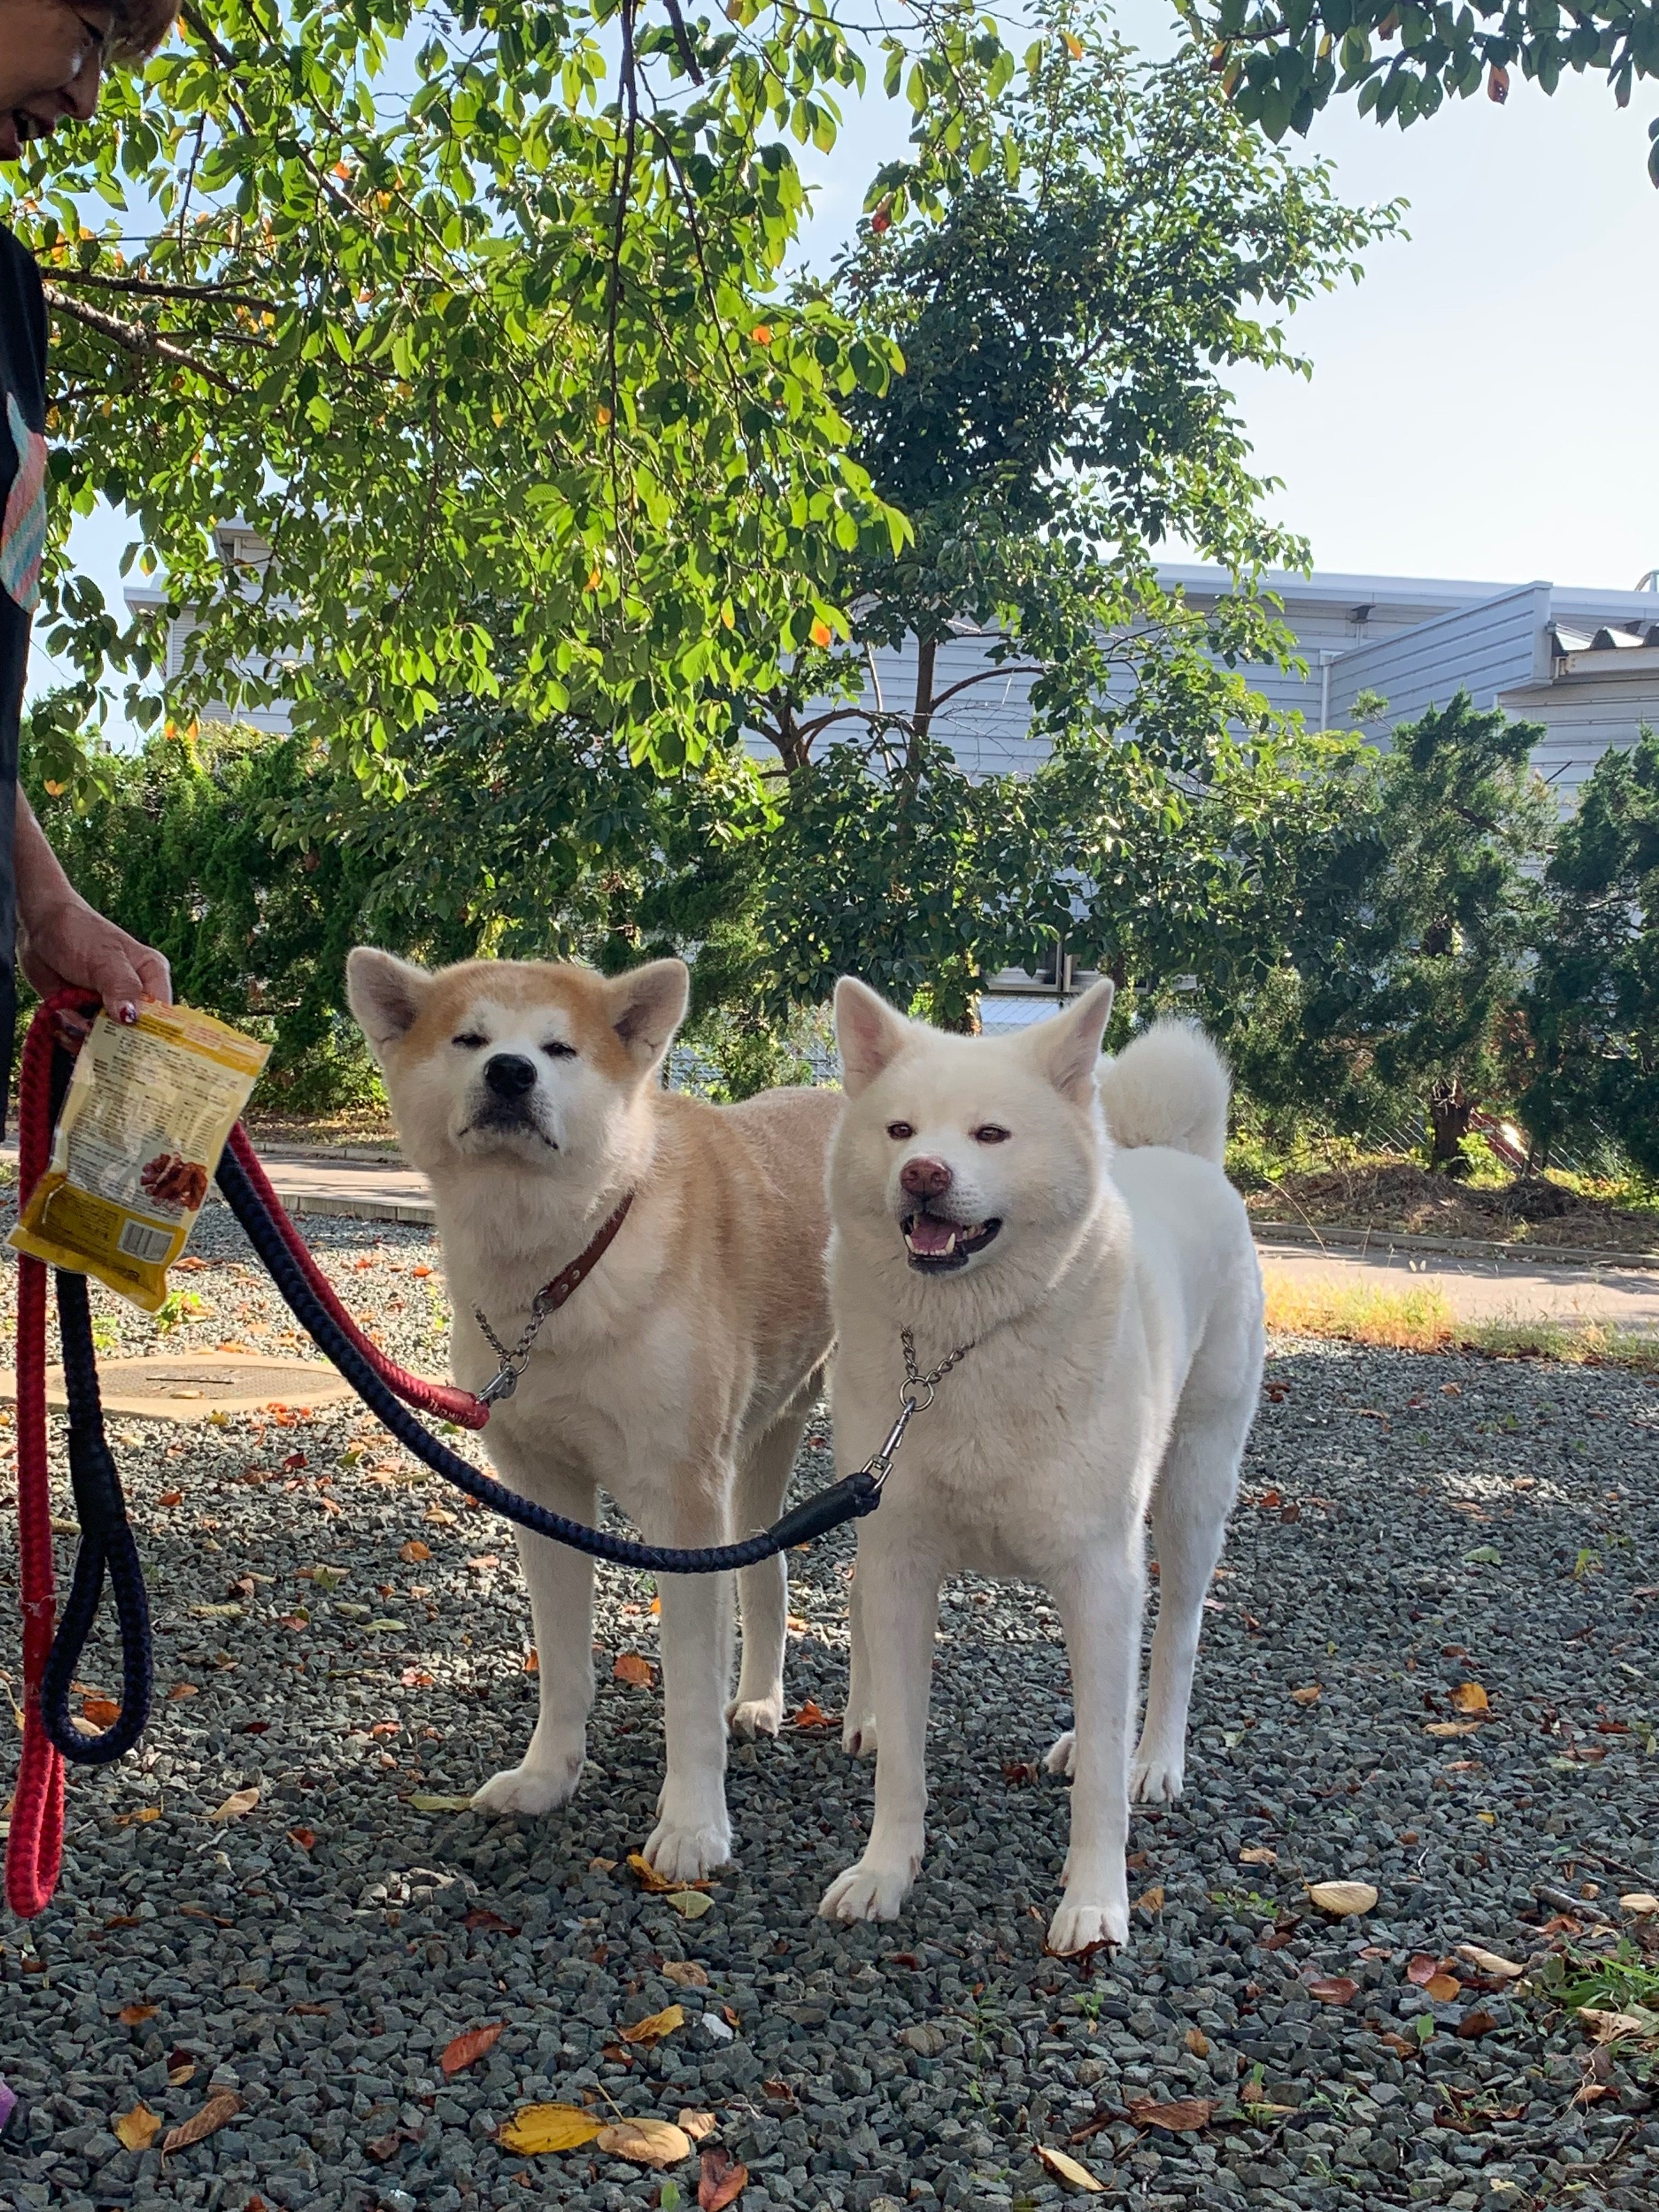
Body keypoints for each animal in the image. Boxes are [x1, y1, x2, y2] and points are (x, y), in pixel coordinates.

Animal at [352, 942, 845, 1876]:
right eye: (471, 1039)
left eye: (560, 1049)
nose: (510, 1072)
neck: (561, 1273)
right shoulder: (544, 1494)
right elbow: (565, 1665)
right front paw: (548, 1778)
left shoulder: (681, 1504)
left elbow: (687, 1688)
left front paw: (692, 1827)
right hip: (760, 1445)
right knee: (767, 1571)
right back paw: (761, 1701)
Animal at [827, 986, 1265, 1955]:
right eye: (899, 1129)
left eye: (991, 1134)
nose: (923, 1173)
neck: (967, 1348)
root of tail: (1178, 1156)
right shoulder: (900, 1559)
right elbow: (905, 1758)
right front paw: (885, 1872)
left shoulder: (1100, 1572)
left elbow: (1102, 1775)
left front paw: (1096, 1902)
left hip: (1191, 1497)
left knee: (1173, 1642)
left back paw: (1155, 1758)